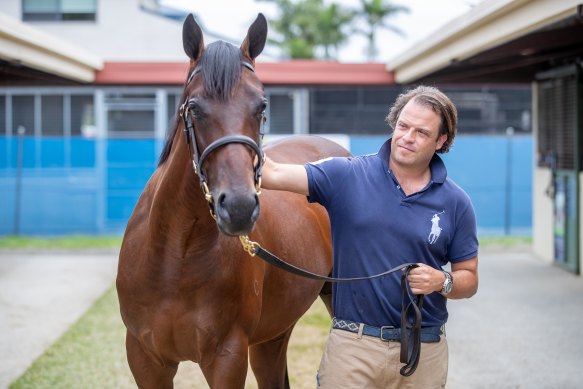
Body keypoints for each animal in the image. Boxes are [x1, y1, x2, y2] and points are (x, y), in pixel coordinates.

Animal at [116, 12, 350, 388]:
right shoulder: (145, 359)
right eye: (195, 108)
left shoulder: (227, 357)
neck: (174, 256)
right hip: (273, 334)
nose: (239, 207)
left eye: (261, 106)